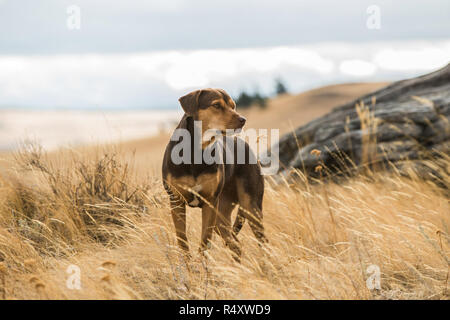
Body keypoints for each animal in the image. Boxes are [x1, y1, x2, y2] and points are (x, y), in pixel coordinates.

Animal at [163, 87, 266, 260]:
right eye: (216, 105)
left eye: (233, 105)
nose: (243, 120)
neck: (196, 152)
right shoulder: (176, 200)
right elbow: (182, 241)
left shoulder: (210, 202)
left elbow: (205, 242)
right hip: (221, 216)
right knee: (235, 244)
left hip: (250, 207)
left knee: (262, 242)